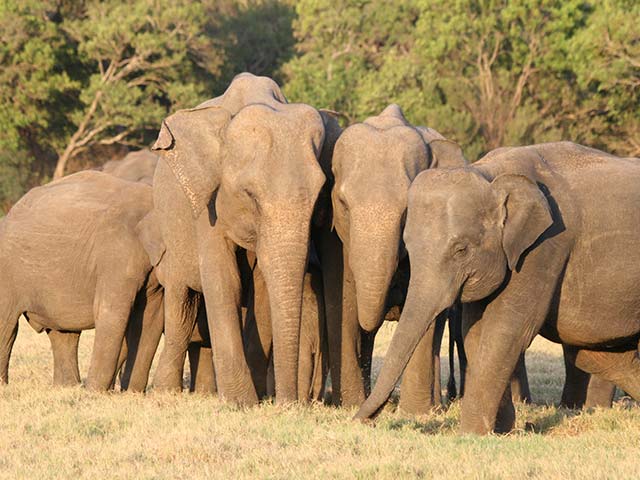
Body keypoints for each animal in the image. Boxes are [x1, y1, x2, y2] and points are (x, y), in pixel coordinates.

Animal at [0, 171, 162, 390]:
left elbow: (151, 318)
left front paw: (132, 392)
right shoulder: (117, 253)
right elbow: (110, 311)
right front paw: (94, 392)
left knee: (64, 333)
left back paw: (66, 387)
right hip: (8, 267)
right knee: (7, 324)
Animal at [145, 72, 333, 404]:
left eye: (319, 196)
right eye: (250, 196)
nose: (288, 403)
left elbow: (261, 289)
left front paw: (255, 398)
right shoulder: (208, 202)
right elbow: (224, 280)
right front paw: (241, 402)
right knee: (181, 305)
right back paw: (166, 391)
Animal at [323, 104, 468, 411]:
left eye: (407, 209)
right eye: (343, 204)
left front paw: (416, 412)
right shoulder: (335, 241)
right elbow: (343, 303)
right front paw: (351, 405)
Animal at [355, 141, 640, 434]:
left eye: (461, 250)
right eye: (408, 246)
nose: (362, 420)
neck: (491, 173)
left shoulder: (543, 248)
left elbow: (505, 332)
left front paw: (472, 433)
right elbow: (475, 334)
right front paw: (502, 430)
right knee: (602, 356)